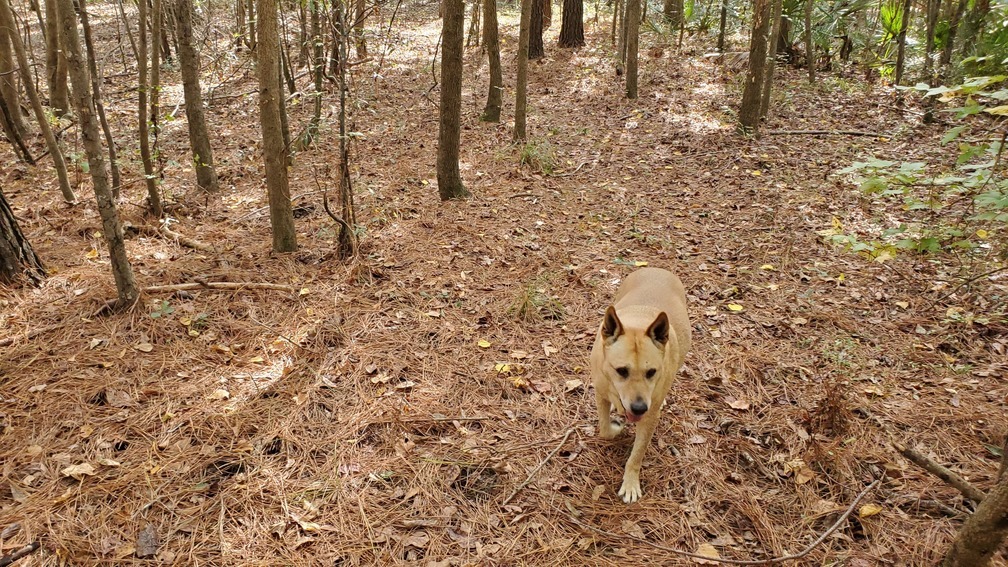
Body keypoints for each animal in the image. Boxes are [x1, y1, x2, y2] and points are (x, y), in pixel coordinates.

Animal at [588, 266, 693, 500]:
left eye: (651, 372)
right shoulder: (600, 392)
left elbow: (636, 455)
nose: (638, 407)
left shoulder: (649, 417)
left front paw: (630, 484)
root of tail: (657, 268)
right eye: (621, 371)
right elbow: (604, 429)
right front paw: (616, 428)